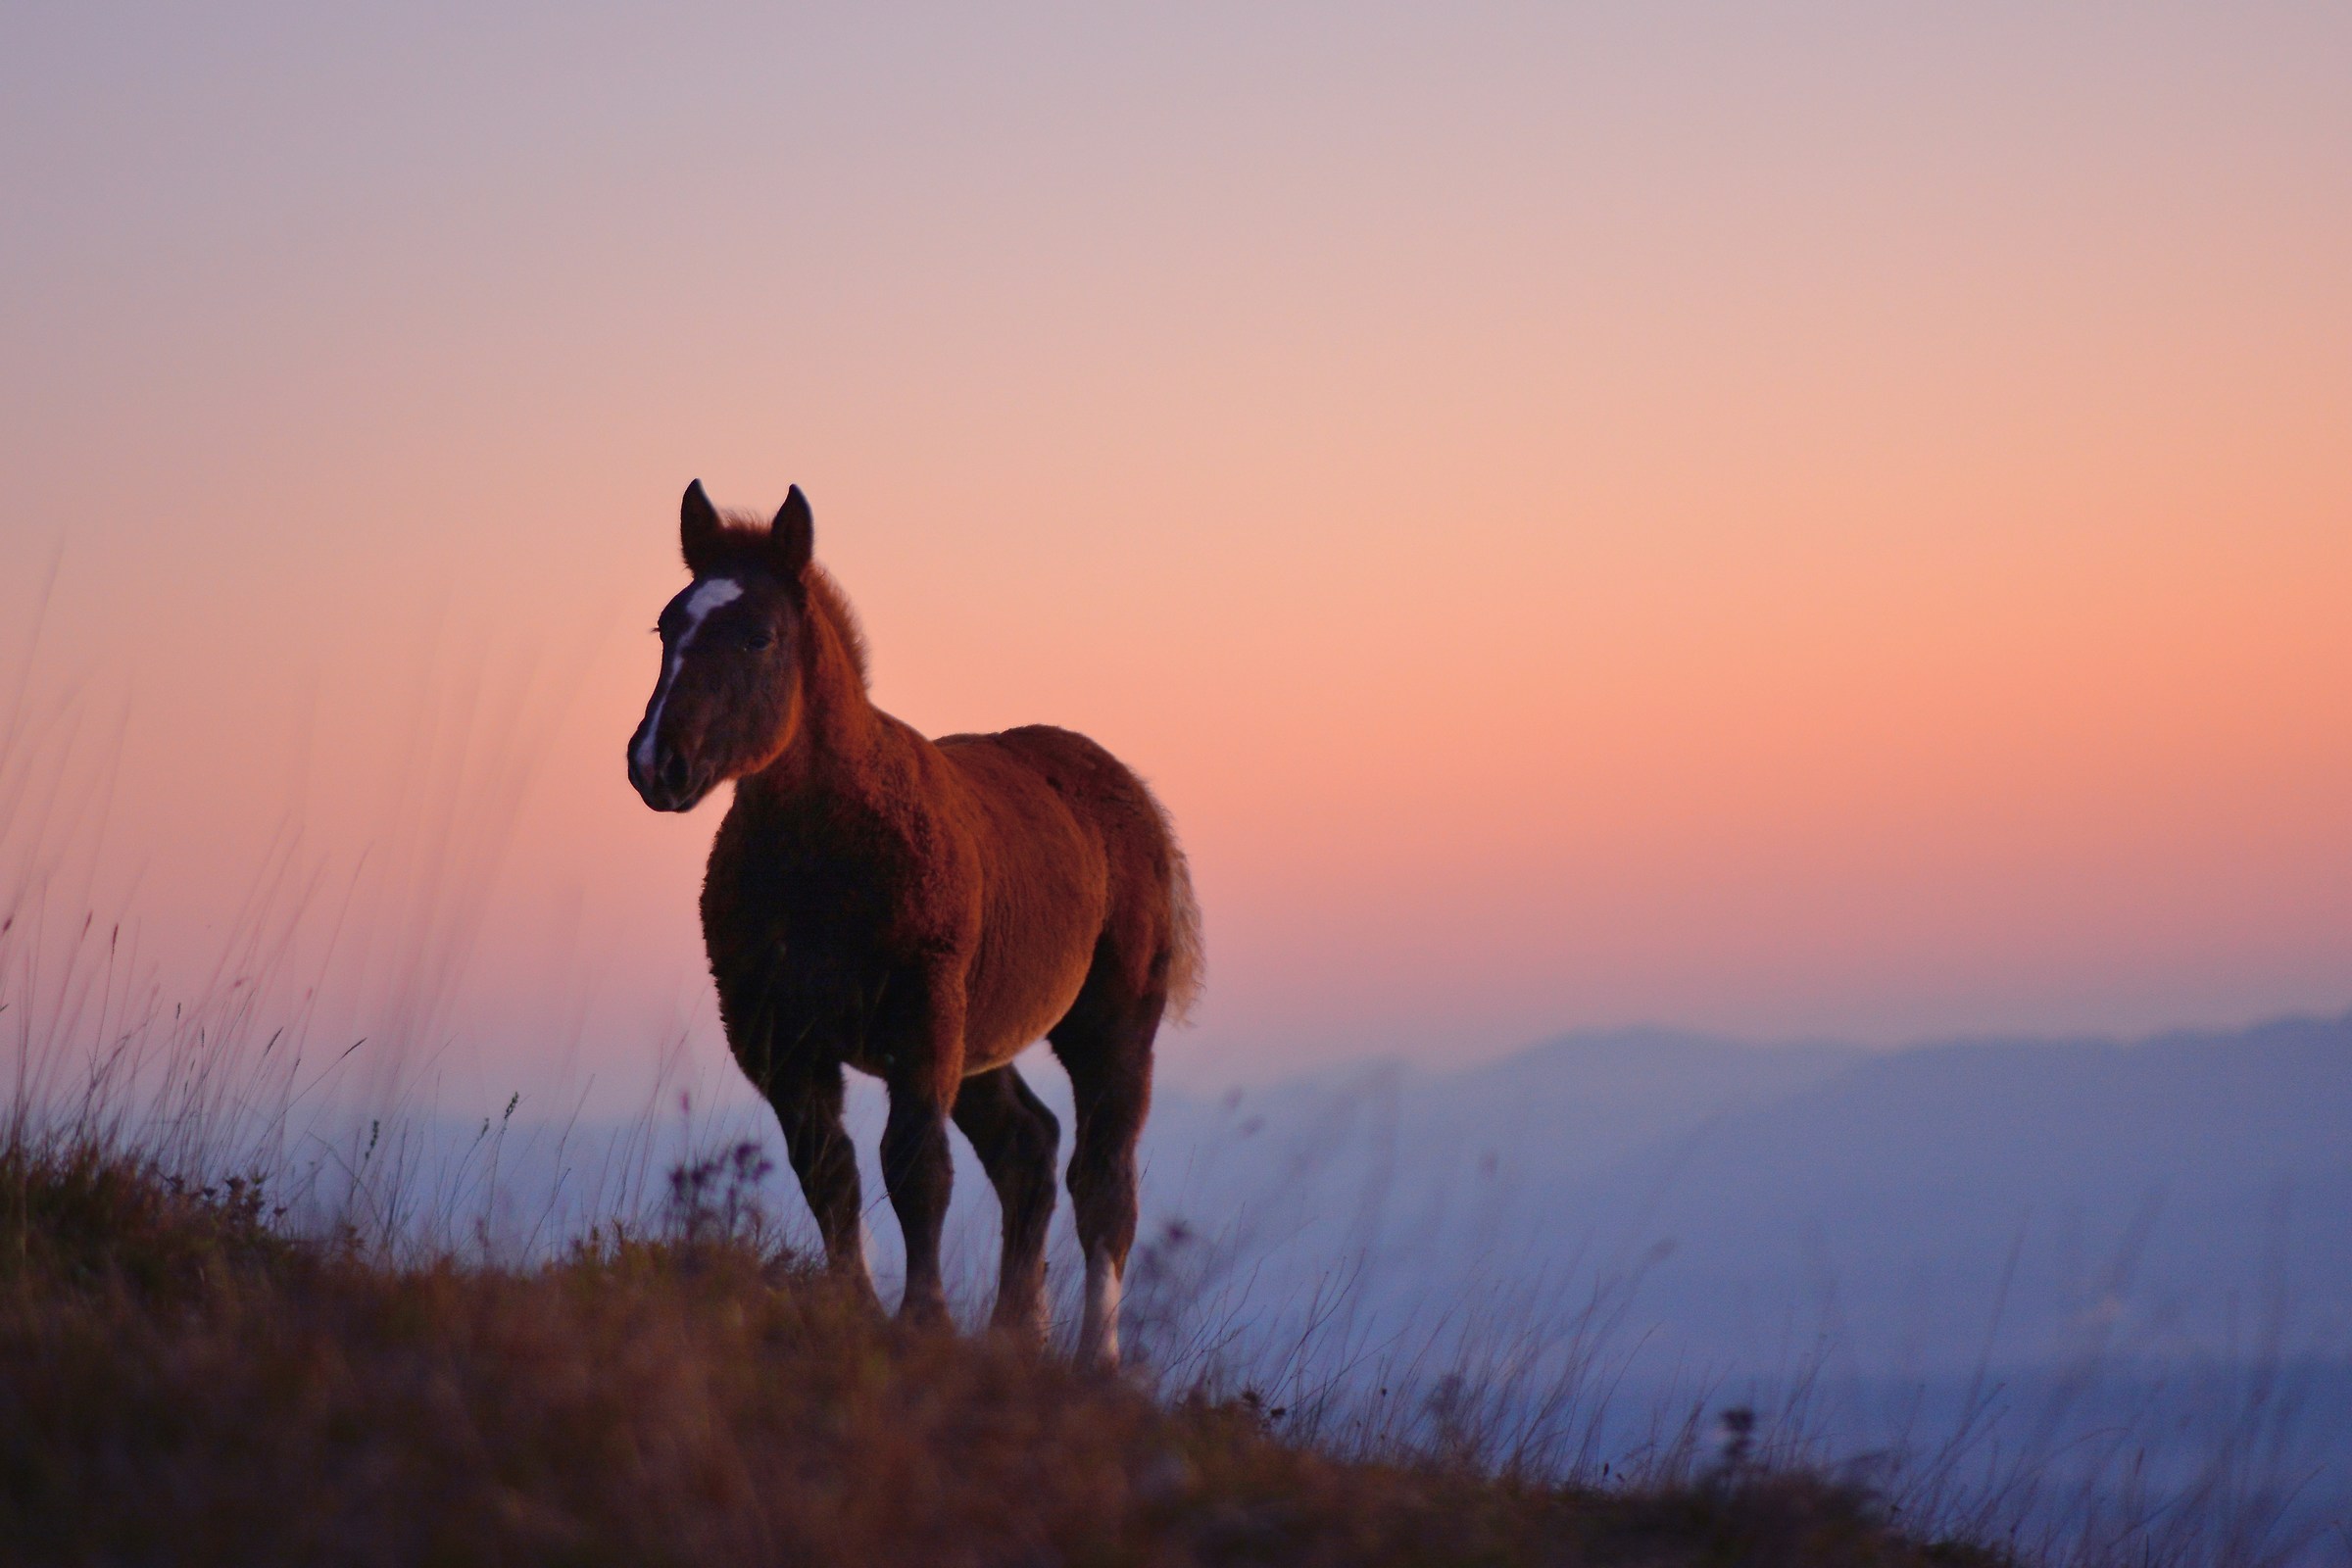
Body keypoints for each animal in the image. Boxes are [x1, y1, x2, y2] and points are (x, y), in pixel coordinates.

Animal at [626, 481, 1201, 1367]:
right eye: (667, 627)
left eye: (759, 636)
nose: (658, 764)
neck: (822, 856)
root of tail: (1126, 789)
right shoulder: (773, 1034)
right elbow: (828, 1169)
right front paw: (855, 1312)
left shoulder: (919, 1016)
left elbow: (915, 1166)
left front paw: (922, 1322)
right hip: (980, 1035)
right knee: (1028, 1149)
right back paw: (1014, 1335)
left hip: (1108, 1022)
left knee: (1104, 1179)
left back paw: (1094, 1365)